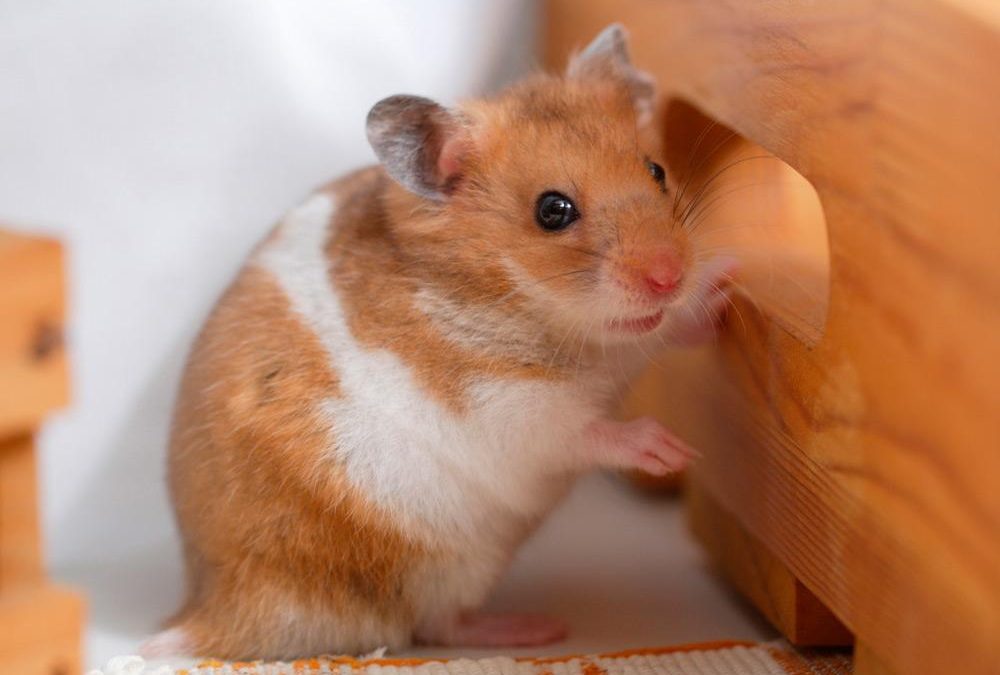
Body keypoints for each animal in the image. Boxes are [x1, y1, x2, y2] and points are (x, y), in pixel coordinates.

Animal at [145, 24, 734, 661]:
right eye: (553, 211)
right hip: (435, 564)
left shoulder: (629, 342)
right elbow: (582, 430)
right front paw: (672, 450)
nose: (668, 275)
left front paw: (725, 291)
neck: (553, 319)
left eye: (656, 170)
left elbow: (667, 328)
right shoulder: (504, 409)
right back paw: (535, 628)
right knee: (435, 624)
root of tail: (213, 610)